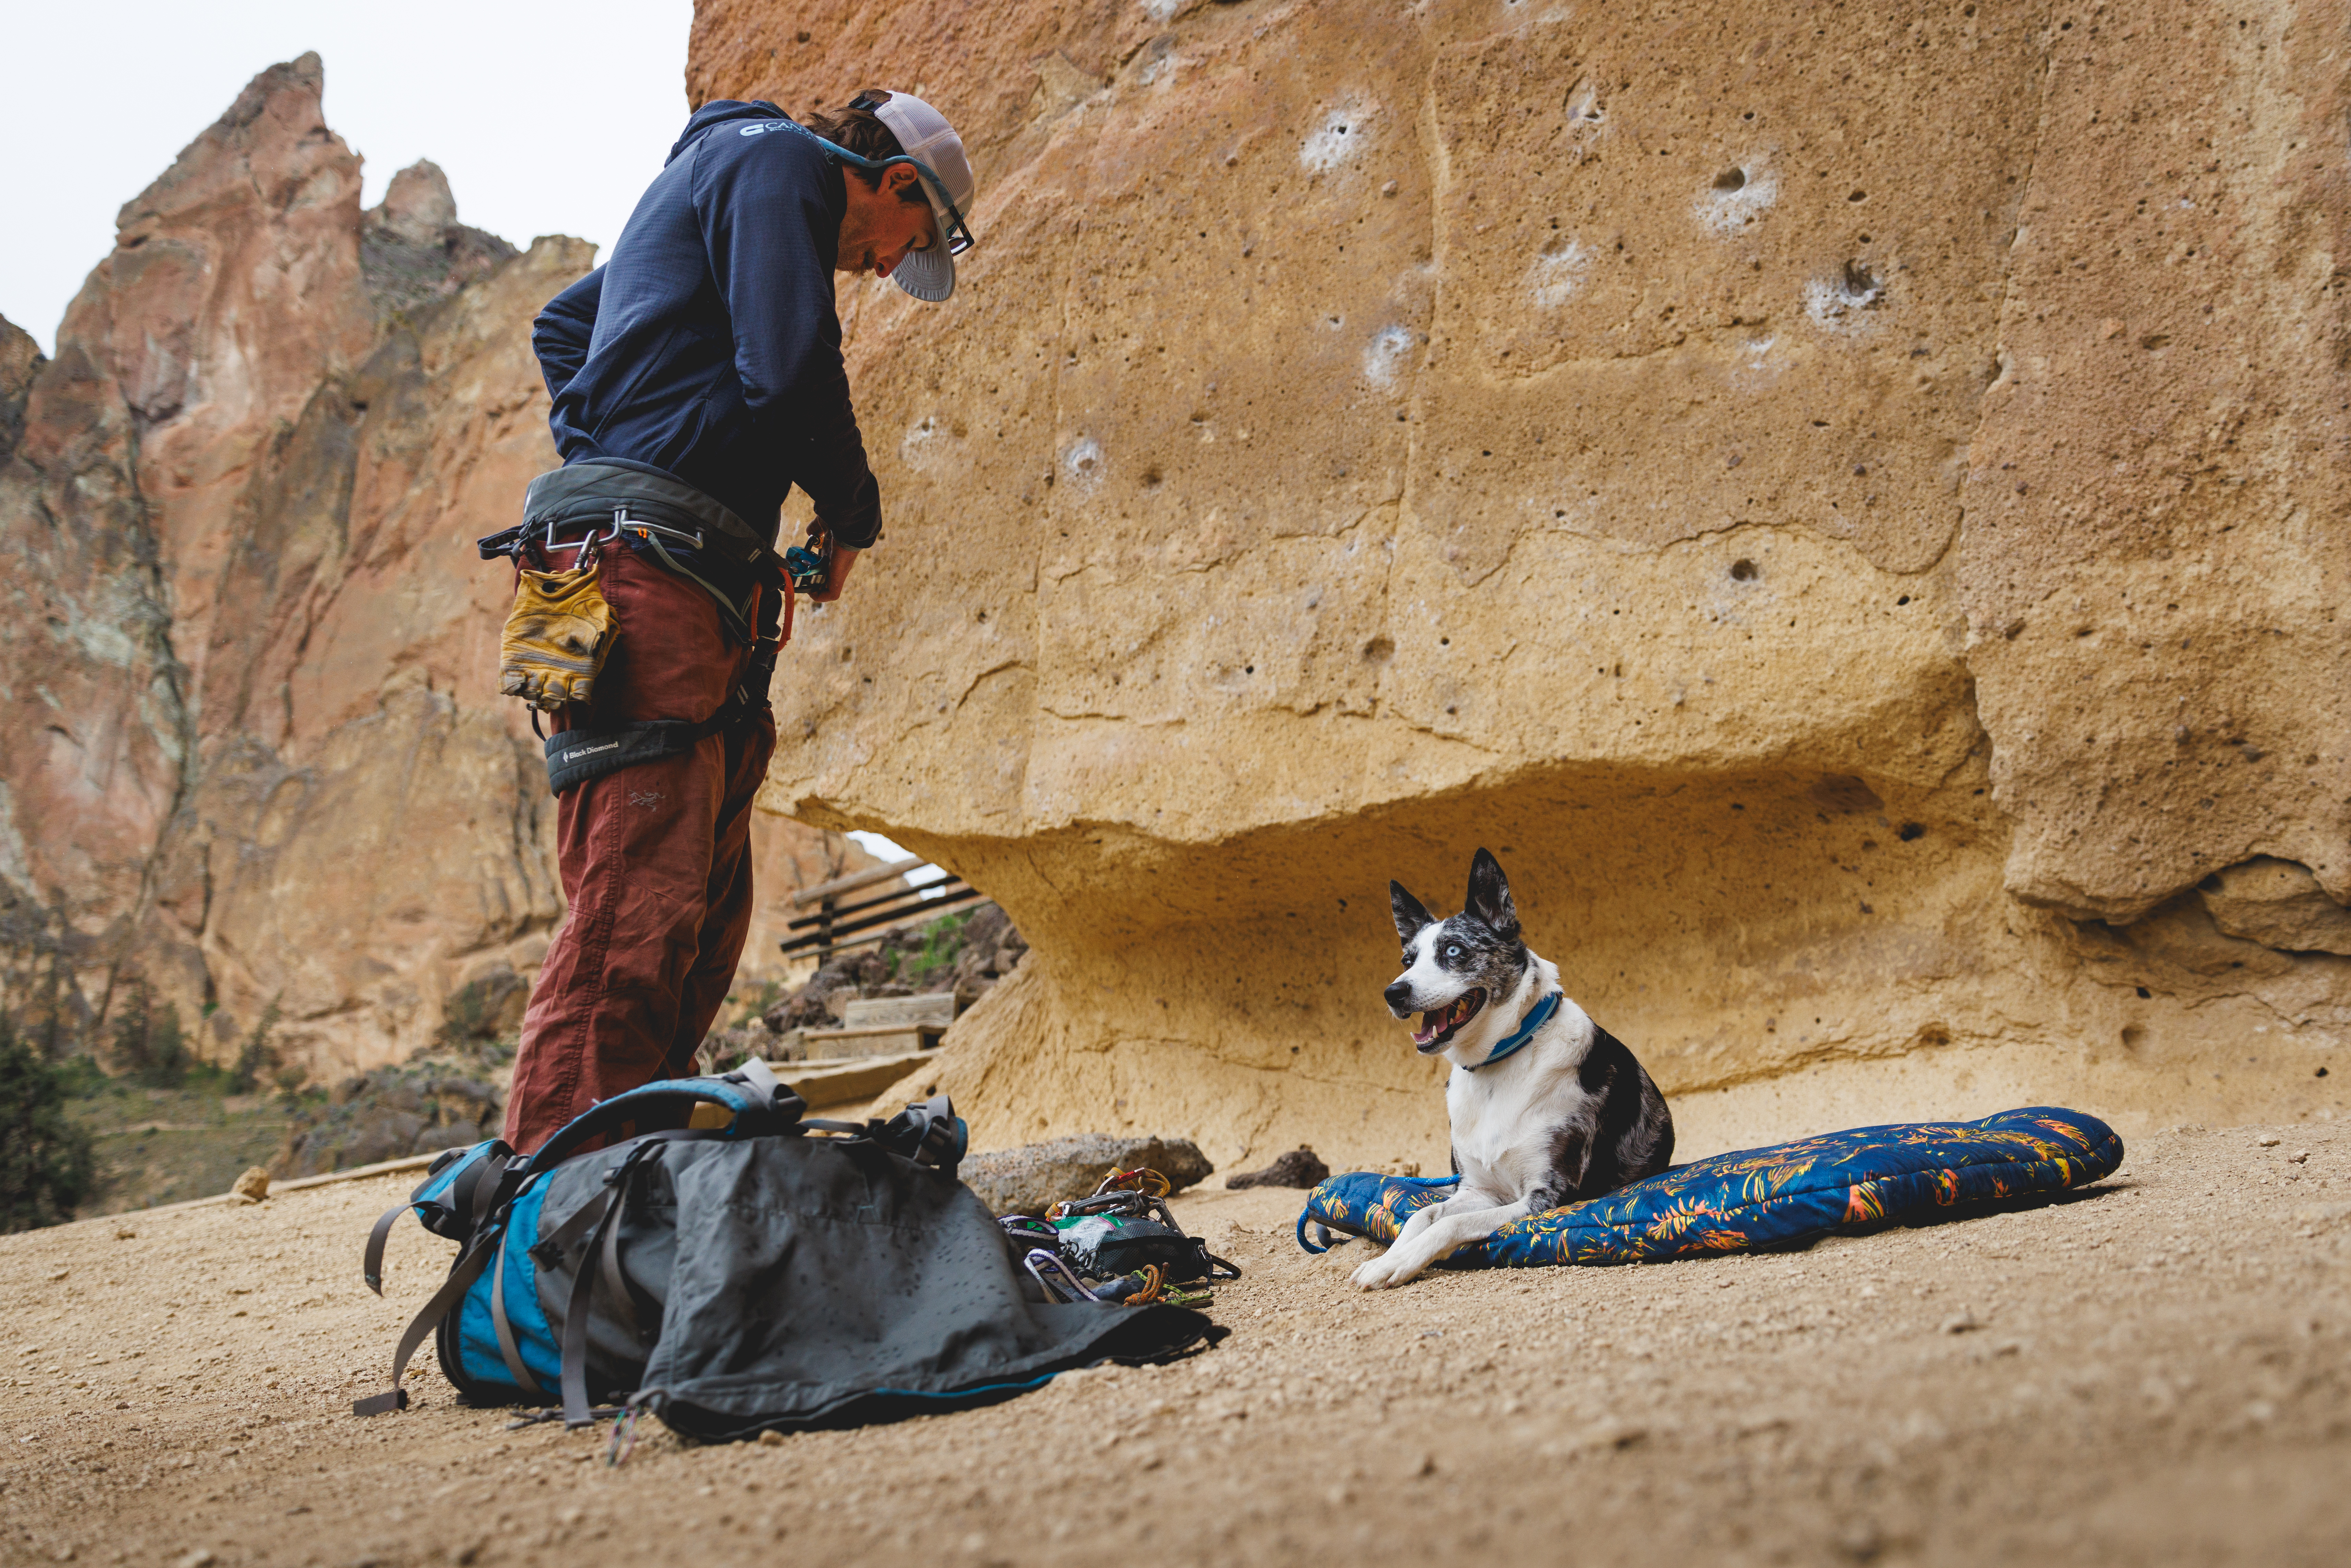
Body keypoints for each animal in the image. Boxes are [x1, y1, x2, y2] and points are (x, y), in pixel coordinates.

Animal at [1354, 851, 1683, 1298]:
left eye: (1454, 950)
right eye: (1408, 961)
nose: (1394, 993)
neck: (1496, 1066)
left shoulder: (1547, 1196)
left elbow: (1451, 1225)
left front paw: (1399, 1263)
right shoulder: (1477, 1190)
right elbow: (1421, 1217)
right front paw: (1387, 1260)